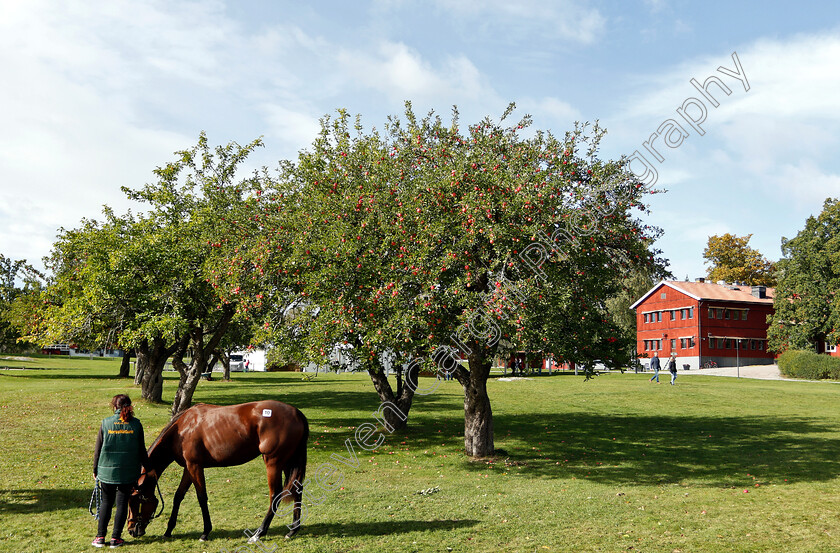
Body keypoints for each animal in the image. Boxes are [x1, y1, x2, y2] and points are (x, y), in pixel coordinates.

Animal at [124, 398, 308, 540]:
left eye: (135, 501)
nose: (131, 530)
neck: (182, 428)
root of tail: (296, 413)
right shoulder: (188, 469)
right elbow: (178, 496)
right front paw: (168, 530)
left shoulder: (195, 467)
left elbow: (201, 497)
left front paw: (205, 532)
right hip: (287, 462)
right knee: (296, 490)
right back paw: (292, 530)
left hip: (273, 463)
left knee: (275, 494)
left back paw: (259, 533)